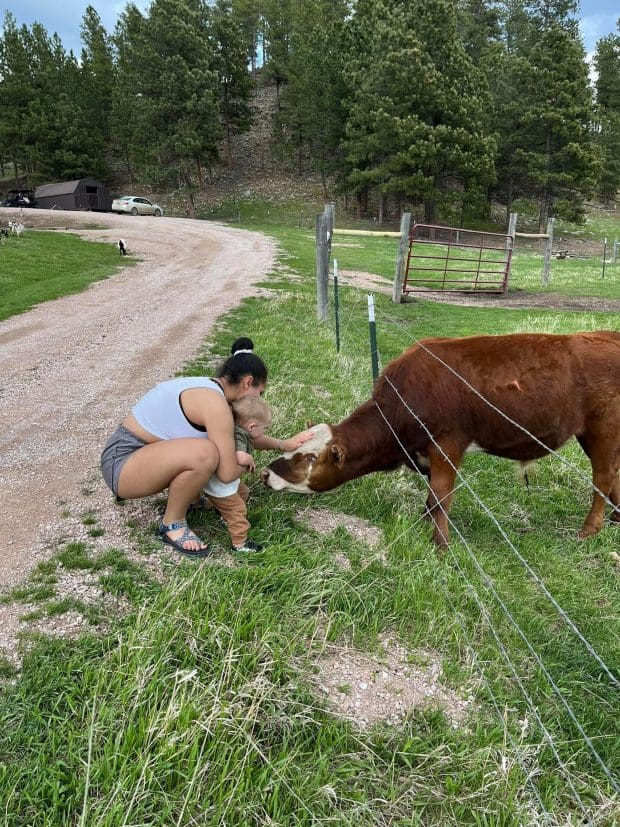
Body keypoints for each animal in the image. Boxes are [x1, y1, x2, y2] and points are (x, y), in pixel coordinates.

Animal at [262, 331, 620, 548]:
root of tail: (607, 334)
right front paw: (426, 525)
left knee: (602, 478)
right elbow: (432, 496)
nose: (266, 472)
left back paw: (589, 530)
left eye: (309, 458)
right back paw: (616, 519)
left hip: (602, 427)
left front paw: (441, 544)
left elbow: (440, 497)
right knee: (613, 475)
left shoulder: (448, 444)